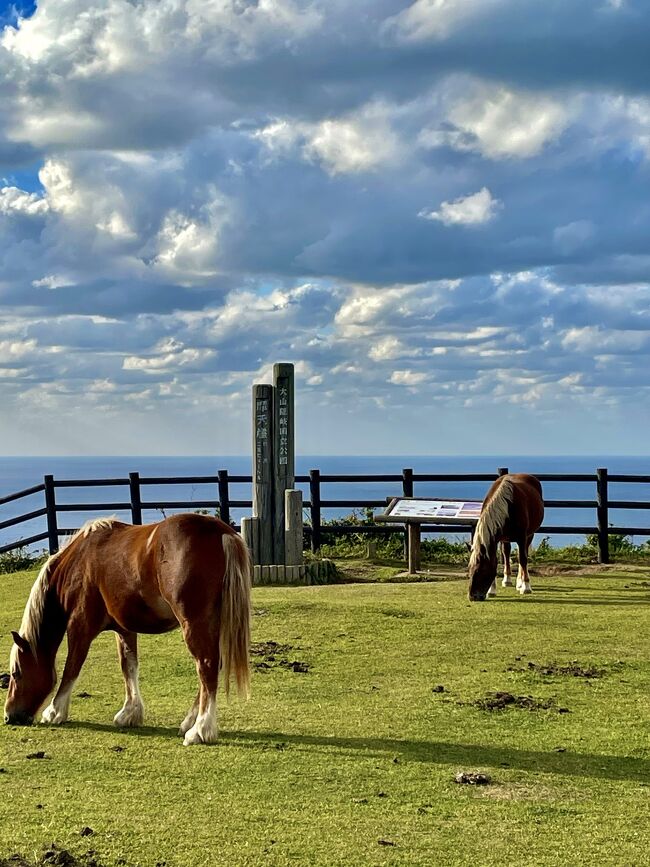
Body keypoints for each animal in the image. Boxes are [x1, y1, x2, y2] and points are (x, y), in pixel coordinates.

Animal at [3, 516, 251, 744]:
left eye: (16, 673)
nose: (8, 716)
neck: (77, 562)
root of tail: (221, 533)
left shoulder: (80, 626)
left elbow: (71, 668)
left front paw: (55, 711)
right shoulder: (124, 630)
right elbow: (128, 666)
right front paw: (130, 713)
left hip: (194, 623)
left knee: (206, 666)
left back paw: (200, 729)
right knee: (213, 665)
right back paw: (189, 722)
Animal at [466, 474, 540, 604]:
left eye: (481, 570)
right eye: (469, 569)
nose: (472, 597)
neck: (507, 506)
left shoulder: (522, 537)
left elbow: (523, 559)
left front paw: (526, 587)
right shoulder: (495, 539)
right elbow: (496, 559)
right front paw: (492, 590)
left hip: (529, 535)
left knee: (523, 556)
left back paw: (520, 582)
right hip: (505, 538)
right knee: (506, 553)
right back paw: (507, 579)